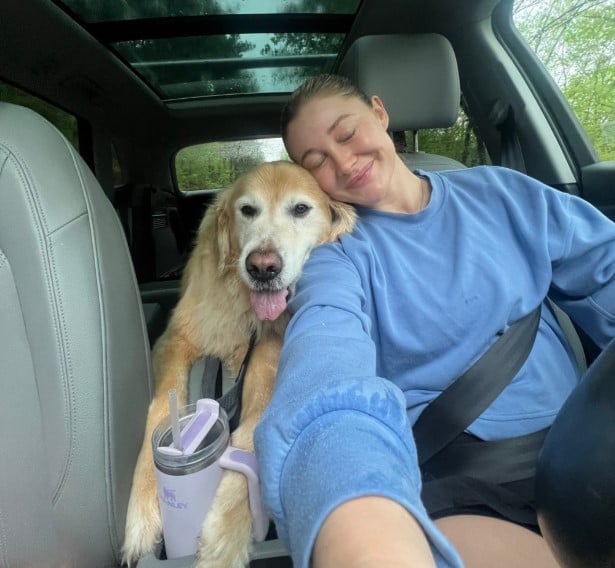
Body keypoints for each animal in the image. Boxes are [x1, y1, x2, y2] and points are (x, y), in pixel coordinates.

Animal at [123, 161, 356, 568]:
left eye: (300, 209)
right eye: (247, 210)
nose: (262, 267)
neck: (247, 311)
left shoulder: (271, 346)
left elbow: (256, 420)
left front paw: (227, 528)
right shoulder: (177, 339)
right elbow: (162, 408)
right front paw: (142, 511)